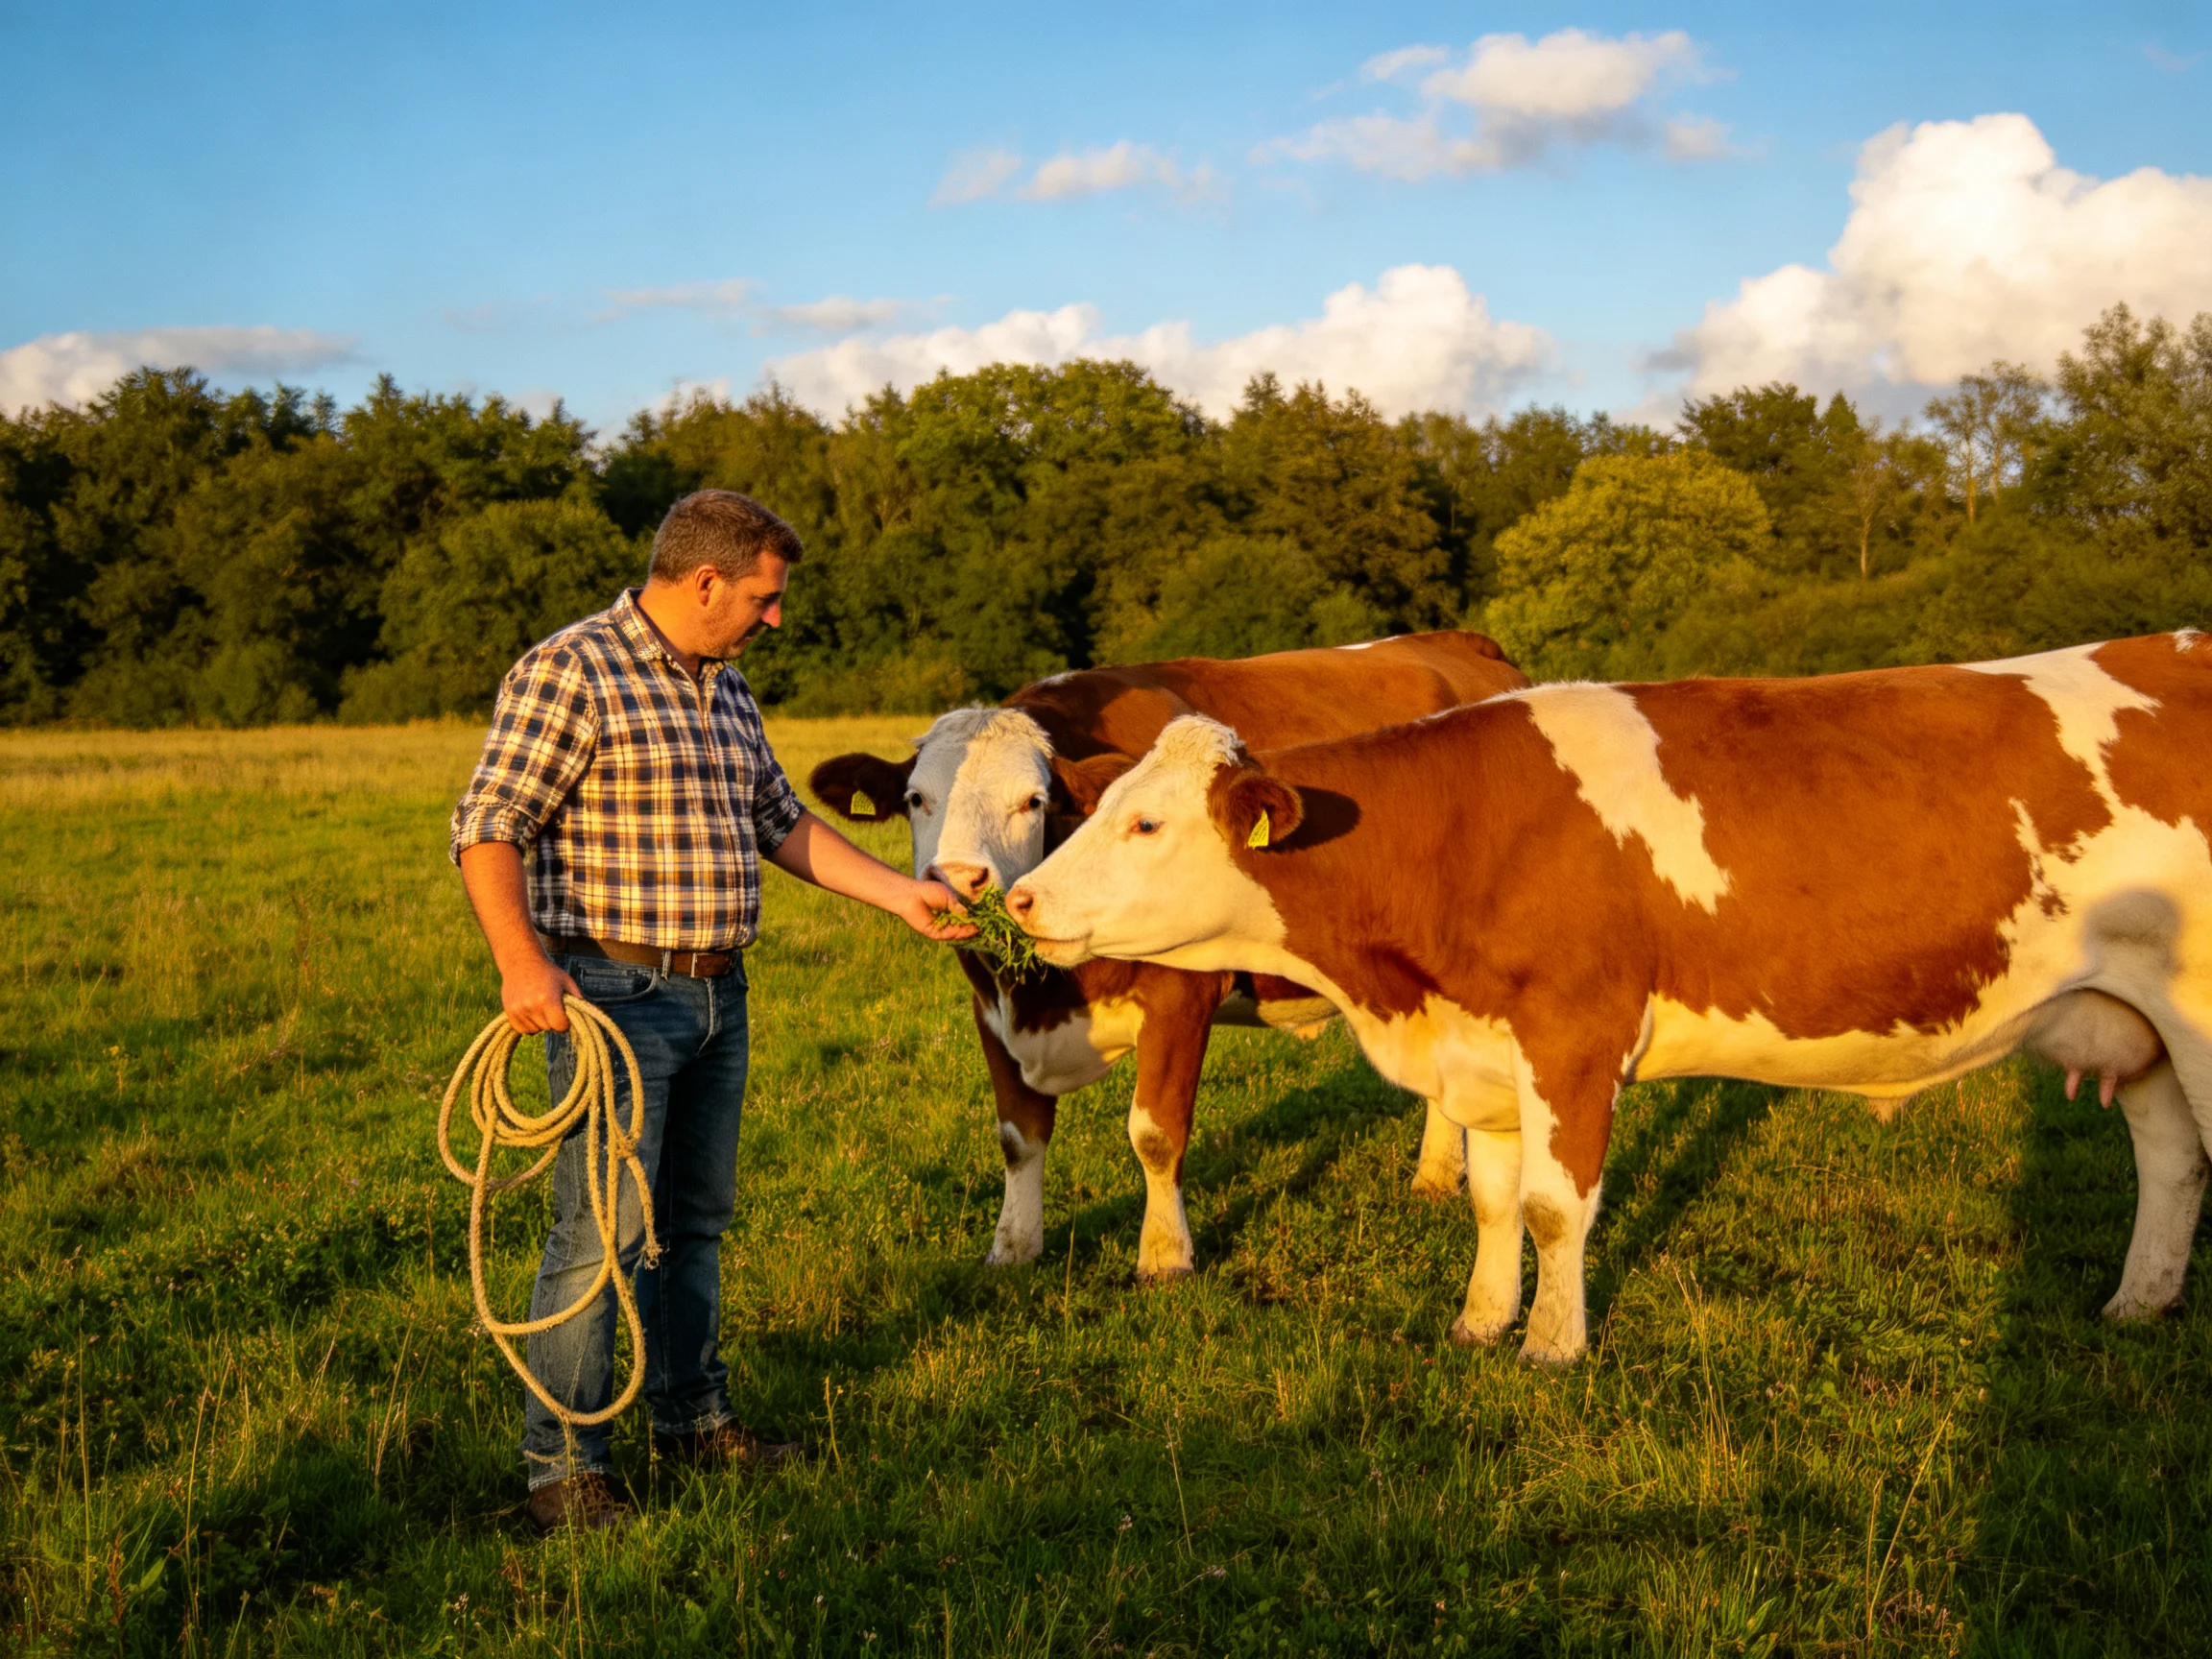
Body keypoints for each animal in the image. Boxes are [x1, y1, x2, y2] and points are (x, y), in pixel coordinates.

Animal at [807, 632, 1530, 1280]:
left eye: (1032, 801)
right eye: (915, 799)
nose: (959, 879)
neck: (1040, 996)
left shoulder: (1180, 995)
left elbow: (1155, 1134)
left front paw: (1163, 1257)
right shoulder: (989, 1008)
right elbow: (1018, 1135)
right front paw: (1013, 1247)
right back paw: (1435, 1175)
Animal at [1004, 635, 2212, 1364]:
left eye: (1145, 823)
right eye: (1097, 804)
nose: (1019, 896)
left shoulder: (1572, 1034)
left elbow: (1554, 1205)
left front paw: (1551, 1345)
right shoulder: (1486, 1048)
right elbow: (1495, 1203)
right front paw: (1480, 1322)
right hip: (2140, 1023)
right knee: (2174, 1163)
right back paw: (2136, 1303)